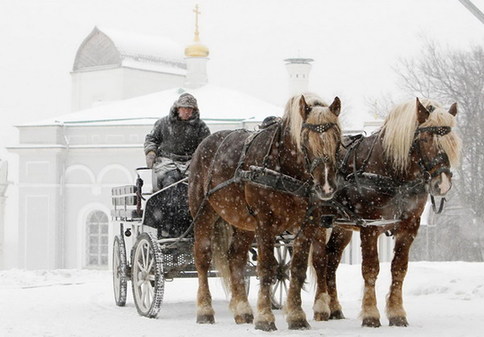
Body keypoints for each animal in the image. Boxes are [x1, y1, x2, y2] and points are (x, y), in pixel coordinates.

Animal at [187, 93, 342, 330]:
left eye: (337, 139)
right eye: (305, 140)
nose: (325, 186)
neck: (284, 169)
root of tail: (204, 145)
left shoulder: (308, 223)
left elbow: (298, 269)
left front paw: (296, 316)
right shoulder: (265, 222)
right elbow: (267, 268)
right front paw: (265, 317)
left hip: (242, 221)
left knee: (236, 258)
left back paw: (242, 310)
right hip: (203, 213)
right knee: (203, 258)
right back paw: (205, 310)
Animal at [310, 96, 462, 326]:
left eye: (452, 141)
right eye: (426, 139)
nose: (442, 184)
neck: (392, 173)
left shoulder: (409, 226)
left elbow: (399, 268)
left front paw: (397, 313)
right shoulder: (370, 226)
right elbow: (370, 268)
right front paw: (371, 314)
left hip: (341, 227)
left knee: (332, 260)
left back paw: (335, 308)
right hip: (319, 222)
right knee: (320, 260)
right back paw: (321, 308)